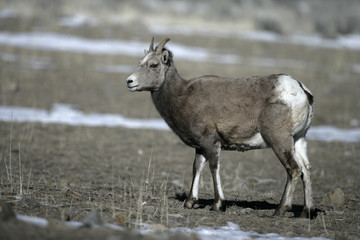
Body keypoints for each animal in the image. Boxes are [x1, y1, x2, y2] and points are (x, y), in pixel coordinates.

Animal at [128, 38, 314, 218]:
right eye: (140, 62)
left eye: (153, 64)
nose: (129, 81)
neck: (181, 95)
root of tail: (302, 91)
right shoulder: (200, 147)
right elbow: (197, 167)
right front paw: (190, 202)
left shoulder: (211, 143)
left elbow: (213, 168)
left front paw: (218, 205)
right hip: (298, 139)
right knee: (305, 169)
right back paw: (307, 212)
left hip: (279, 140)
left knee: (294, 169)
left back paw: (280, 210)